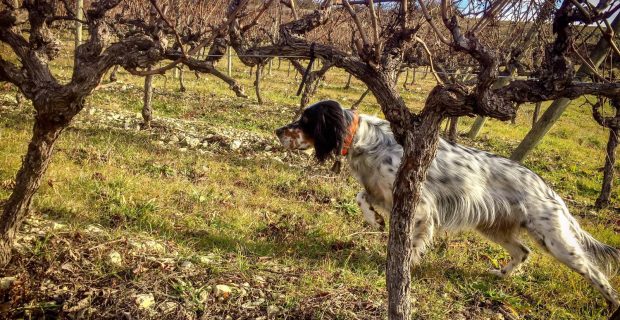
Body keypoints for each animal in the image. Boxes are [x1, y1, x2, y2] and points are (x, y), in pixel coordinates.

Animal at [276, 101, 620, 308]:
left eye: (305, 120)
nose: (278, 131)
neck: (365, 140)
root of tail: (548, 187)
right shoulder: (382, 192)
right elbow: (362, 197)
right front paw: (374, 220)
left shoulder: (419, 207)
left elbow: (412, 245)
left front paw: (403, 267)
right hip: (495, 228)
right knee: (523, 251)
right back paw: (501, 275)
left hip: (555, 239)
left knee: (595, 272)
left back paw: (612, 304)